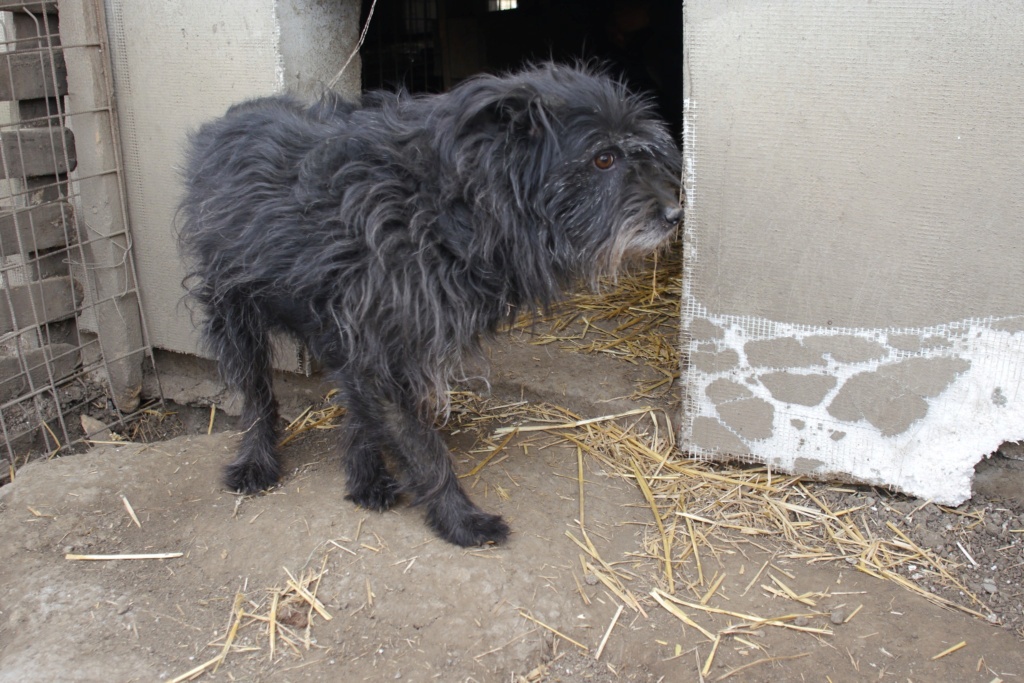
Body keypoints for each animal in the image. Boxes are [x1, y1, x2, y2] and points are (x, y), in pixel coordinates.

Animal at [180, 62, 684, 544]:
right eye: (604, 158)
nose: (676, 215)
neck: (449, 206)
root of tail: (227, 120)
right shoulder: (382, 351)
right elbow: (420, 446)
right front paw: (459, 520)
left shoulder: (360, 341)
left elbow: (365, 415)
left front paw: (366, 478)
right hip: (233, 311)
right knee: (256, 395)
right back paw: (256, 461)